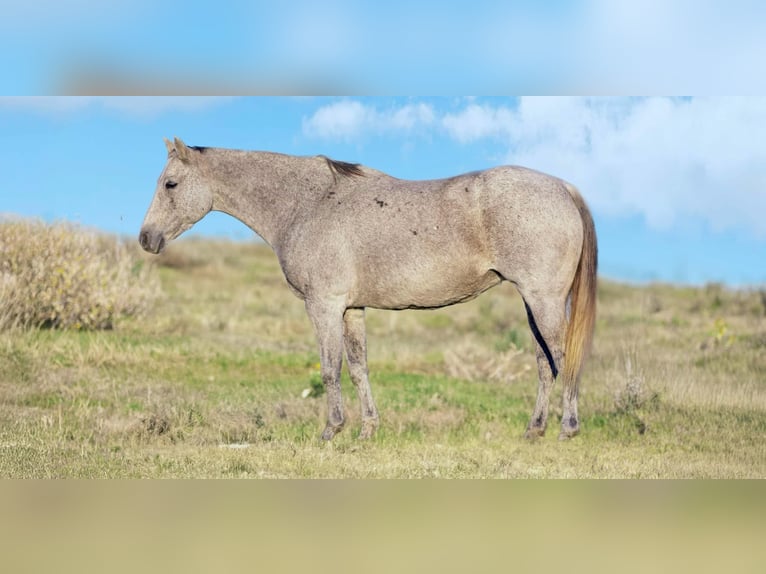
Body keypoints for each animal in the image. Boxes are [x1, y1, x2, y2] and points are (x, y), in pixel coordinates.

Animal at [140, 137, 597, 441]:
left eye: (170, 184)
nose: (146, 238)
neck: (308, 203)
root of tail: (563, 187)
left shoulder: (323, 306)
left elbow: (330, 368)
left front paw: (331, 430)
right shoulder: (351, 309)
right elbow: (359, 367)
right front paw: (366, 429)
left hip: (543, 300)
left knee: (562, 358)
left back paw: (567, 428)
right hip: (533, 302)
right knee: (544, 363)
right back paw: (534, 430)